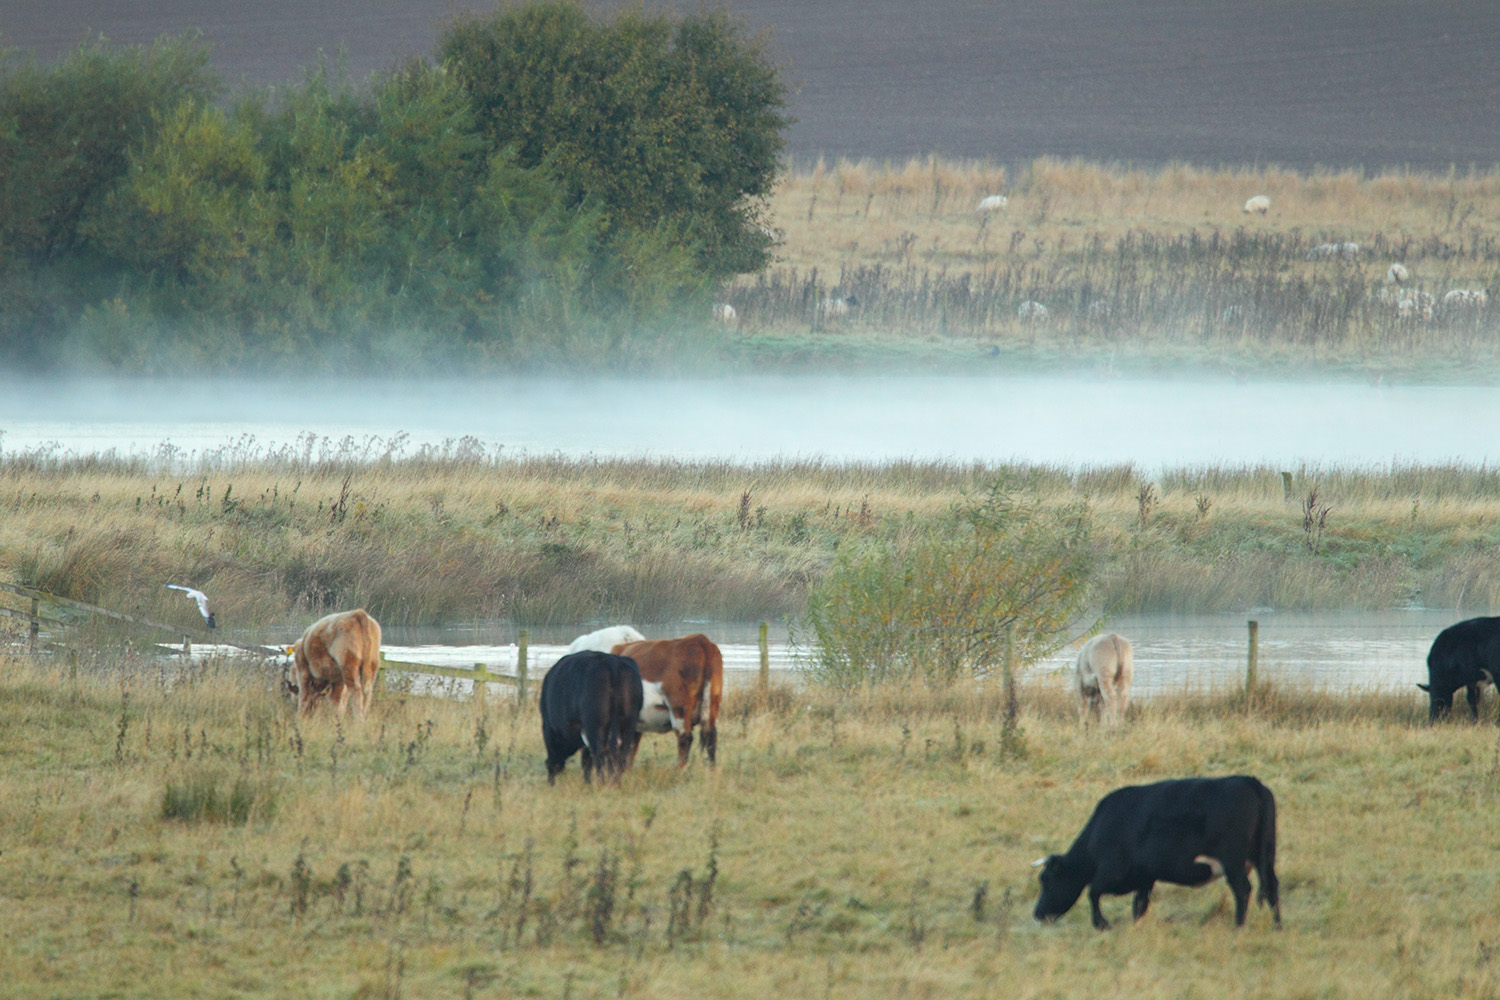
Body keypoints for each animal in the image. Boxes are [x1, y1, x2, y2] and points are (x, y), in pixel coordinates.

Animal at [537, 653, 642, 785]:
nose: (551, 781)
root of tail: (612, 662)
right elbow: (587, 760)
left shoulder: (548, 727)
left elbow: (586, 761)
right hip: (629, 723)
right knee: (620, 755)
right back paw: (616, 784)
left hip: (595, 726)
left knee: (600, 756)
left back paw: (602, 784)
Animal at [1038, 773, 1284, 929]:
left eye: (1046, 880)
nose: (1037, 913)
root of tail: (1250, 782)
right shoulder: (1144, 877)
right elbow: (1139, 905)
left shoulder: (1113, 871)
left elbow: (1093, 892)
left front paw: (1102, 924)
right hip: (1266, 857)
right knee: (1272, 887)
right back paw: (1277, 926)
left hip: (1233, 862)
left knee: (1242, 890)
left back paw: (1238, 927)